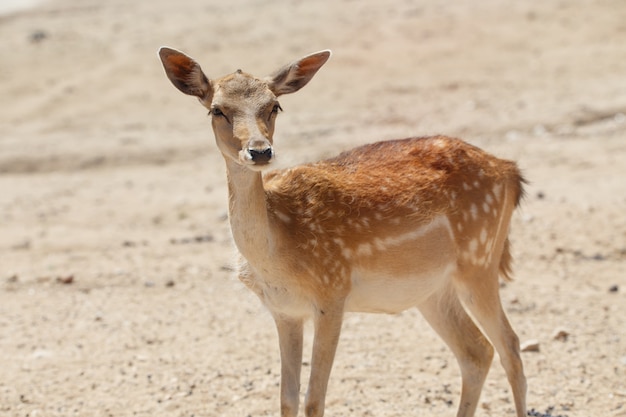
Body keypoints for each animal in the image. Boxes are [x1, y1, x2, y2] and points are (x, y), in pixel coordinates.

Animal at [158, 46, 524, 416]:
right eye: (217, 109)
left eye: (274, 105)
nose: (260, 151)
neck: (277, 252)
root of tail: (510, 172)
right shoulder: (283, 311)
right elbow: (287, 399)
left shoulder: (332, 292)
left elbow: (313, 399)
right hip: (434, 291)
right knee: (476, 351)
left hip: (479, 260)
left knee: (509, 344)